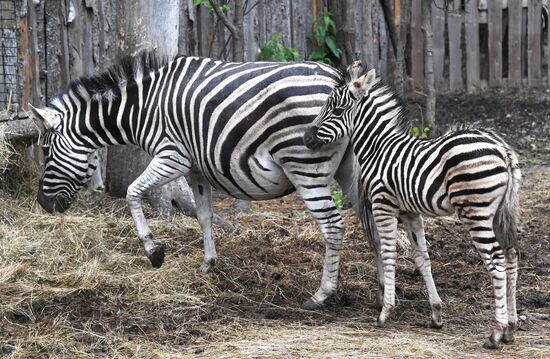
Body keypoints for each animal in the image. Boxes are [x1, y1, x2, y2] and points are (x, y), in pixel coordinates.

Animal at [28, 52, 382, 310]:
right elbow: (204, 216)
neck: (142, 109)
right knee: (372, 221)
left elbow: (132, 193)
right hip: (351, 168)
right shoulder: (196, 169)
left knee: (333, 226)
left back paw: (322, 295)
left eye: (45, 150)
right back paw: (382, 292)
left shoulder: (172, 155)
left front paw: (153, 251)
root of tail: (339, 80)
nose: (42, 204)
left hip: (305, 165)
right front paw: (208, 265)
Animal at [304, 64, 524, 348]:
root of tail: (502, 149)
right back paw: (511, 328)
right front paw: (436, 314)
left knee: (496, 260)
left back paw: (496, 332)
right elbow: (422, 258)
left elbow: (388, 254)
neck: (377, 147)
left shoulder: (383, 204)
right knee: (511, 255)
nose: (306, 138)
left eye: (337, 111)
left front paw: (385, 312)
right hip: (500, 213)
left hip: (477, 212)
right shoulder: (410, 212)